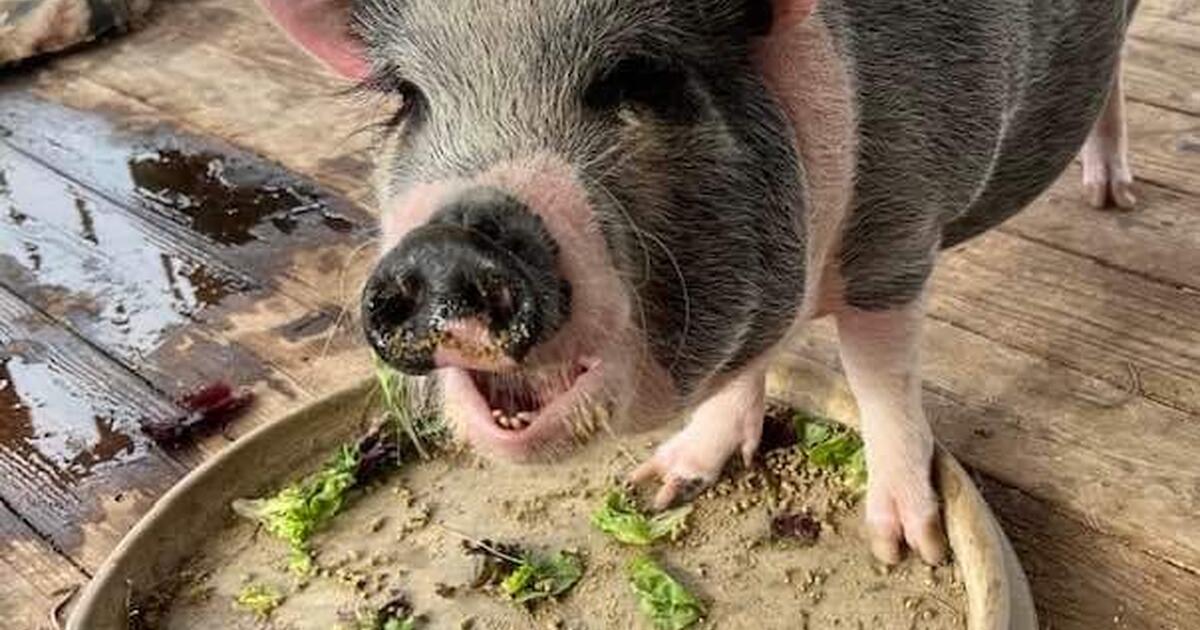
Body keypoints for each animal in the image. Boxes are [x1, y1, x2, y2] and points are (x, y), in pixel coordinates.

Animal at [261, 0, 1137, 565]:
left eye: (636, 77)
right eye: (408, 99)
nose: (445, 246)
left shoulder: (898, 234)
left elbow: (878, 376)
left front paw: (907, 551)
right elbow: (742, 367)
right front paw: (655, 488)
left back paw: (1115, 199)